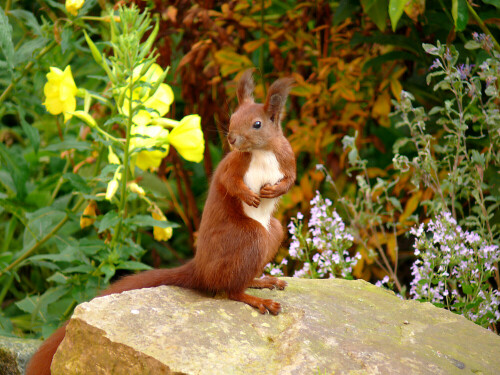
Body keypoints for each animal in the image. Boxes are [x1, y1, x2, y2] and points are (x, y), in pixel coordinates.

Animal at [25, 71, 294, 375]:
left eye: (257, 124)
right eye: (233, 117)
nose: (233, 139)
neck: (261, 152)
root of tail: (200, 270)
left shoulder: (287, 157)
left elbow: (291, 178)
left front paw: (276, 190)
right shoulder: (233, 164)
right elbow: (229, 182)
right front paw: (248, 195)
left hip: (272, 232)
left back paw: (261, 282)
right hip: (250, 238)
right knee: (231, 291)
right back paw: (257, 299)